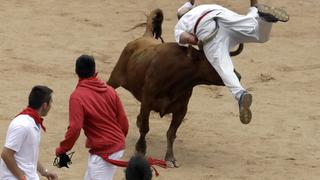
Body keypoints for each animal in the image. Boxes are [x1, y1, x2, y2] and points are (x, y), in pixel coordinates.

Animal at [106, 8, 241, 167]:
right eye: (214, 60)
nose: (238, 76)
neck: (176, 80)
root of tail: (143, 38)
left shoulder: (181, 109)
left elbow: (171, 133)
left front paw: (170, 158)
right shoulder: (147, 102)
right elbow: (145, 127)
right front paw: (140, 150)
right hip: (114, 78)